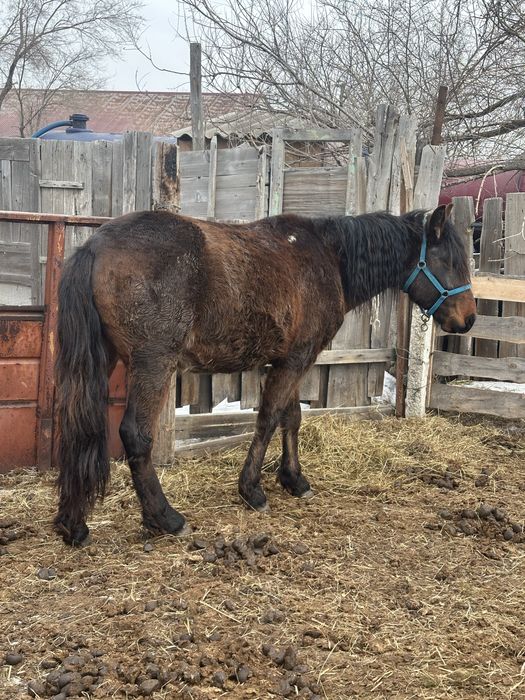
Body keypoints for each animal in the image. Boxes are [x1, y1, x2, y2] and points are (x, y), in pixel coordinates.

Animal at [54, 203, 476, 546]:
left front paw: (293, 479)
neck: (329, 257)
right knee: (135, 435)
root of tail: (95, 246)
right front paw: (252, 489)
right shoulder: (297, 359)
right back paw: (165, 517)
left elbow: (291, 417)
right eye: (451, 262)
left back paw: (73, 524)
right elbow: (269, 418)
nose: (469, 319)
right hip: (153, 363)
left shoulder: (286, 360)